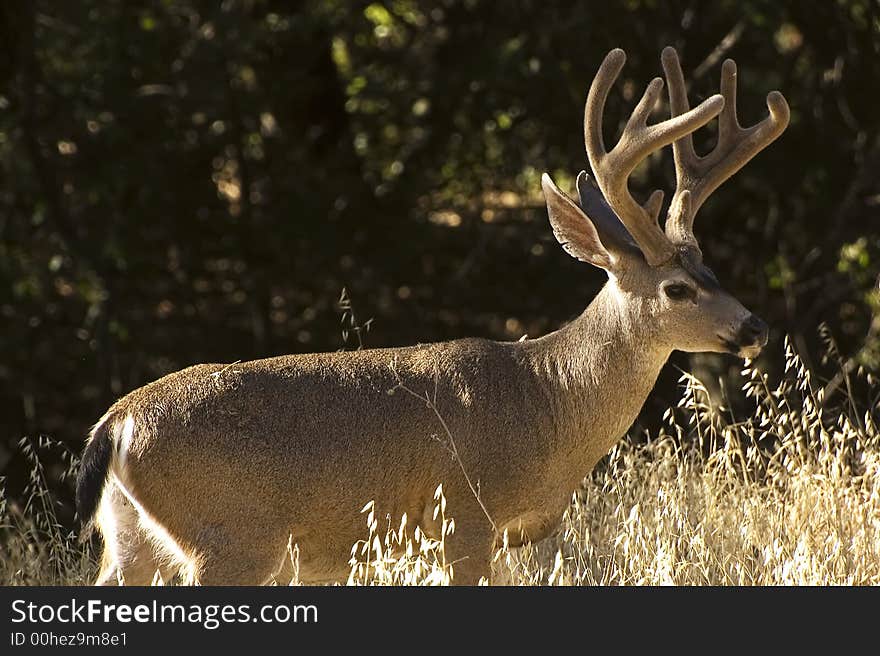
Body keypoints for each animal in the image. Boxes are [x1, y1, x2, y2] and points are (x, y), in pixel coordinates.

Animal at [77, 48, 792, 588]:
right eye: (677, 288)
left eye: (712, 267)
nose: (754, 328)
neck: (548, 404)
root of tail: (117, 423)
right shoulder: (464, 521)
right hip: (233, 539)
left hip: (131, 538)